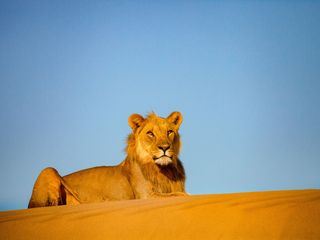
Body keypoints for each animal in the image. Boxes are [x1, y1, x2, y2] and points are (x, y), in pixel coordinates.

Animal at [29, 111, 188, 207]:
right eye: (150, 133)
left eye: (169, 132)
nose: (165, 147)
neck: (164, 170)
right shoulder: (146, 196)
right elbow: (181, 195)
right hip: (48, 170)